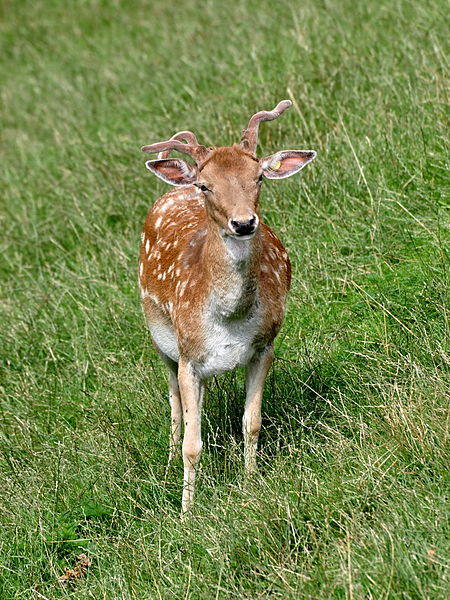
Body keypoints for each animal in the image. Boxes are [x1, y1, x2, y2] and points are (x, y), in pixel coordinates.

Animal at [139, 99, 314, 510]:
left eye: (259, 177)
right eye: (207, 185)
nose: (244, 223)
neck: (228, 317)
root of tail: (175, 191)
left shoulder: (264, 345)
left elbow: (252, 422)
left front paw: (250, 484)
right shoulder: (188, 357)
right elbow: (192, 445)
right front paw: (186, 512)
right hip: (160, 340)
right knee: (173, 400)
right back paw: (166, 463)